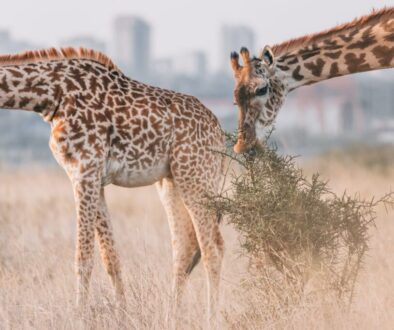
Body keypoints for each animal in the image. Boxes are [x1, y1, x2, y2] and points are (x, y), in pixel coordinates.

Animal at [0, 46, 225, 328]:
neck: (51, 95)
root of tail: (220, 134)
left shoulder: (84, 171)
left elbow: (84, 257)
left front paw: (78, 317)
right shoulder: (94, 178)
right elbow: (111, 258)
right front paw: (122, 315)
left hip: (196, 176)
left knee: (212, 249)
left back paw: (211, 320)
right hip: (172, 180)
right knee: (185, 247)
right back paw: (169, 318)